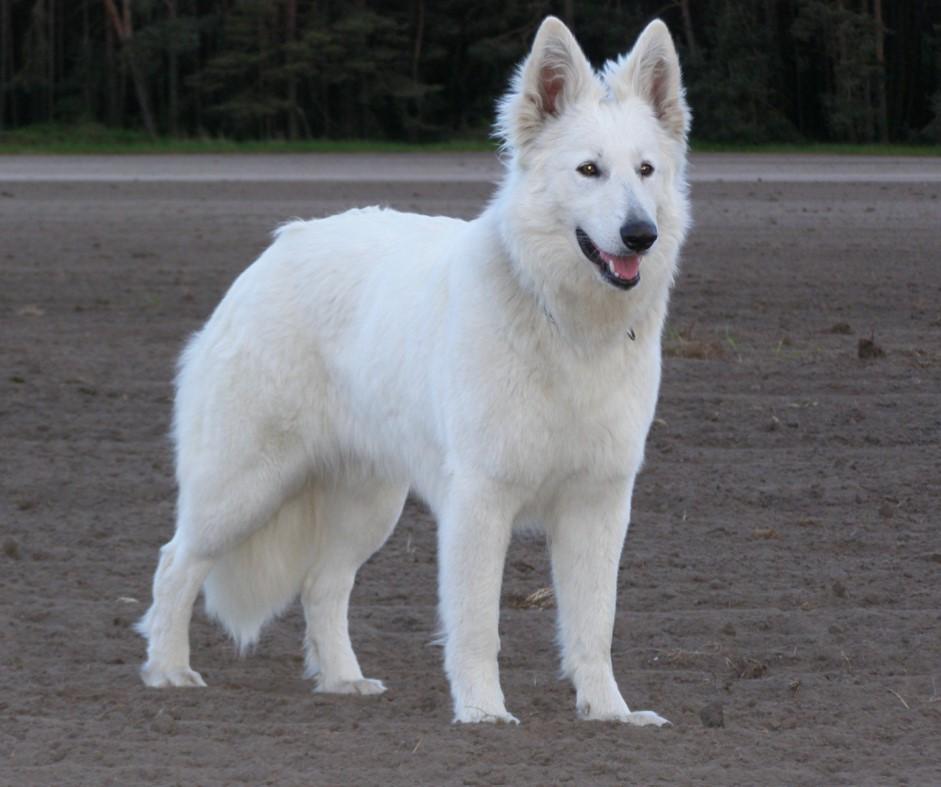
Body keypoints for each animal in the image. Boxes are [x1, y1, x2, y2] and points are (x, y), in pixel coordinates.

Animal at [136, 15, 688, 728]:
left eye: (646, 171)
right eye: (589, 170)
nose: (641, 234)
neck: (563, 323)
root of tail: (276, 251)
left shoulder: (599, 504)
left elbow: (595, 624)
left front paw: (610, 713)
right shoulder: (480, 500)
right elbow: (478, 624)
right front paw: (483, 712)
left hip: (369, 505)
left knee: (322, 585)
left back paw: (343, 680)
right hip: (243, 488)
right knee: (175, 564)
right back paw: (168, 670)